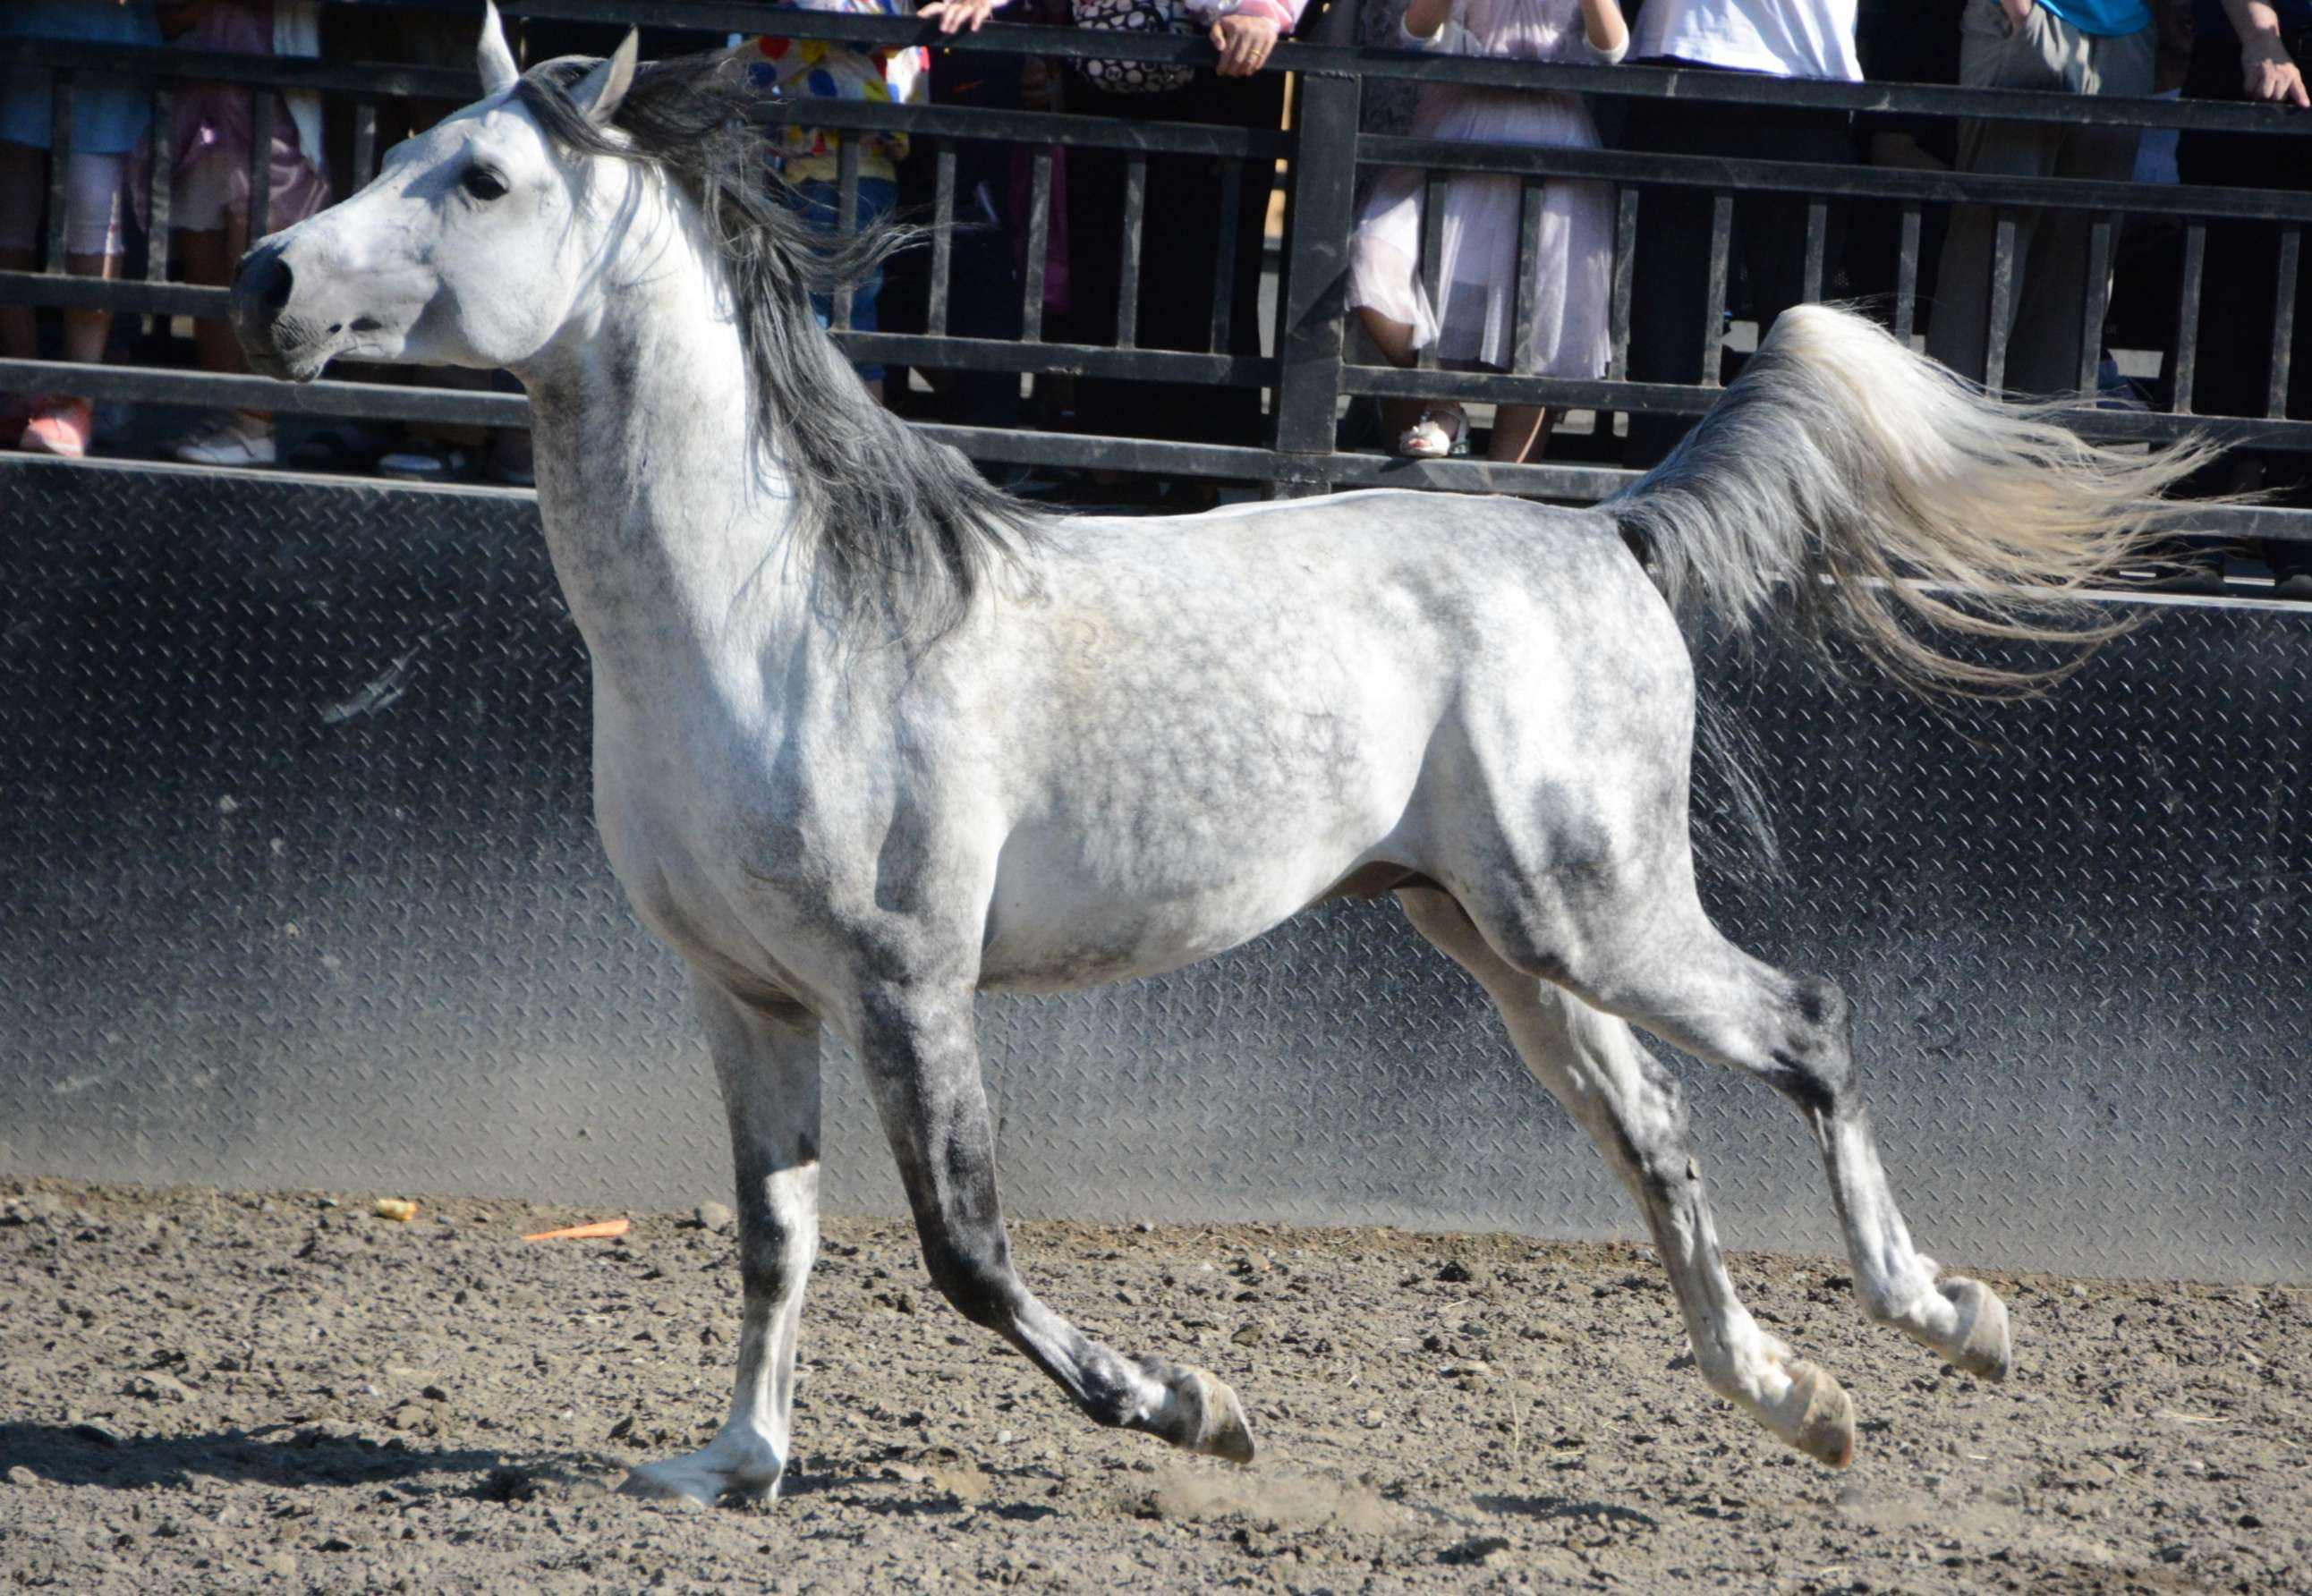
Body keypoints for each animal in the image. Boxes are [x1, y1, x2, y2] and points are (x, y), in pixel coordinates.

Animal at [230, 9, 2200, 1507]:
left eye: (480, 182)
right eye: (410, 146)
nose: (264, 274)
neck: (782, 609)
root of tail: (1607, 532)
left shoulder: (906, 978)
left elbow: (962, 1248)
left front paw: (1192, 1408)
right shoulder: (745, 993)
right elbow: (773, 1235)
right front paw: (729, 1466)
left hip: (1596, 910)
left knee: (1802, 1025)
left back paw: (1944, 1318)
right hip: (1492, 937)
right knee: (1652, 1127)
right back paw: (1793, 1396)